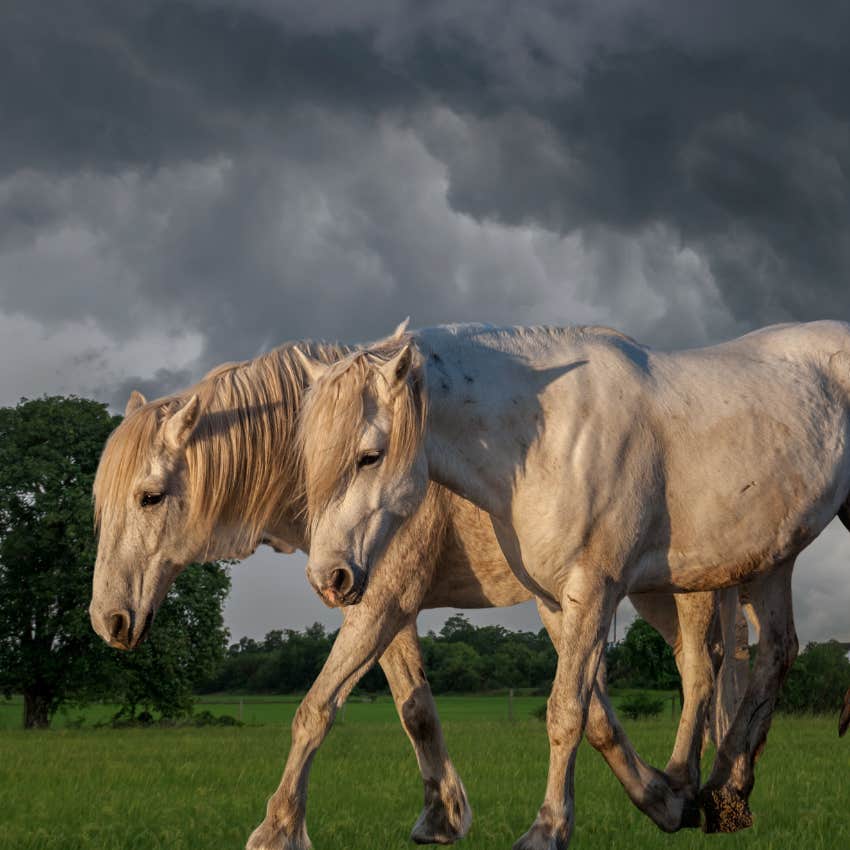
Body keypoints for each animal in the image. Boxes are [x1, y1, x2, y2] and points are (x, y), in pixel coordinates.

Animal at [89, 334, 744, 844]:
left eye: (149, 496)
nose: (107, 620)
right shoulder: (386, 606)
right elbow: (419, 709)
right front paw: (443, 817)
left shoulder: (386, 601)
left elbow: (315, 709)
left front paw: (278, 829)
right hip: (650, 591)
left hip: (684, 589)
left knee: (701, 670)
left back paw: (704, 785)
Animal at [294, 320, 848, 848]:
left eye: (369, 455)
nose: (330, 578)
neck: (547, 440)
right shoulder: (555, 600)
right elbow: (592, 713)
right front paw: (660, 803)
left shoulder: (595, 590)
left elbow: (566, 712)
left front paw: (547, 829)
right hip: (773, 556)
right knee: (774, 651)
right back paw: (725, 791)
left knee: (719, 664)